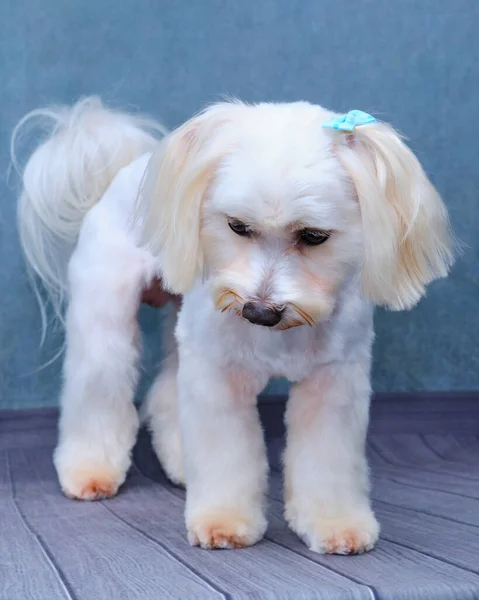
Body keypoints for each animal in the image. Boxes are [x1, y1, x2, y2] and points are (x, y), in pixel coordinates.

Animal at [14, 95, 454, 552]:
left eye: (314, 236)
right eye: (237, 226)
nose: (259, 311)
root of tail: (126, 168)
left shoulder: (334, 381)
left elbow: (327, 459)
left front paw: (335, 524)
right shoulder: (216, 373)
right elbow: (225, 452)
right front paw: (224, 520)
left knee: (167, 393)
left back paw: (181, 463)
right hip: (106, 317)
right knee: (98, 388)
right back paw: (89, 470)